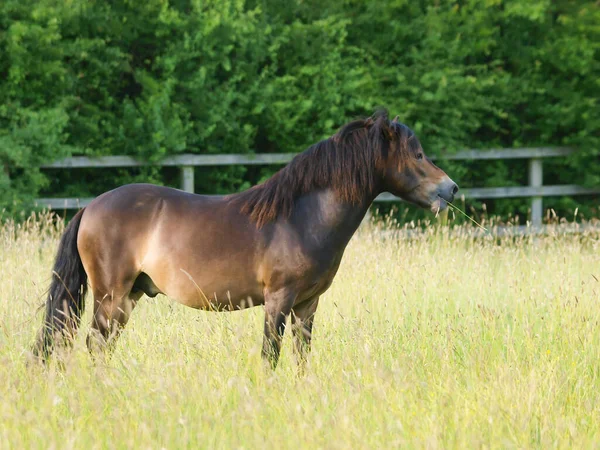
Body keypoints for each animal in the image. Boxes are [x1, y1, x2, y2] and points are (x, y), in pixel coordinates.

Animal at [32, 111, 458, 370]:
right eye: (417, 154)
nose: (450, 189)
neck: (302, 217)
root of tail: (90, 207)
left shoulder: (308, 304)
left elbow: (301, 358)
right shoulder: (278, 300)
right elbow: (270, 356)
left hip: (128, 297)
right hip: (112, 298)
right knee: (95, 345)